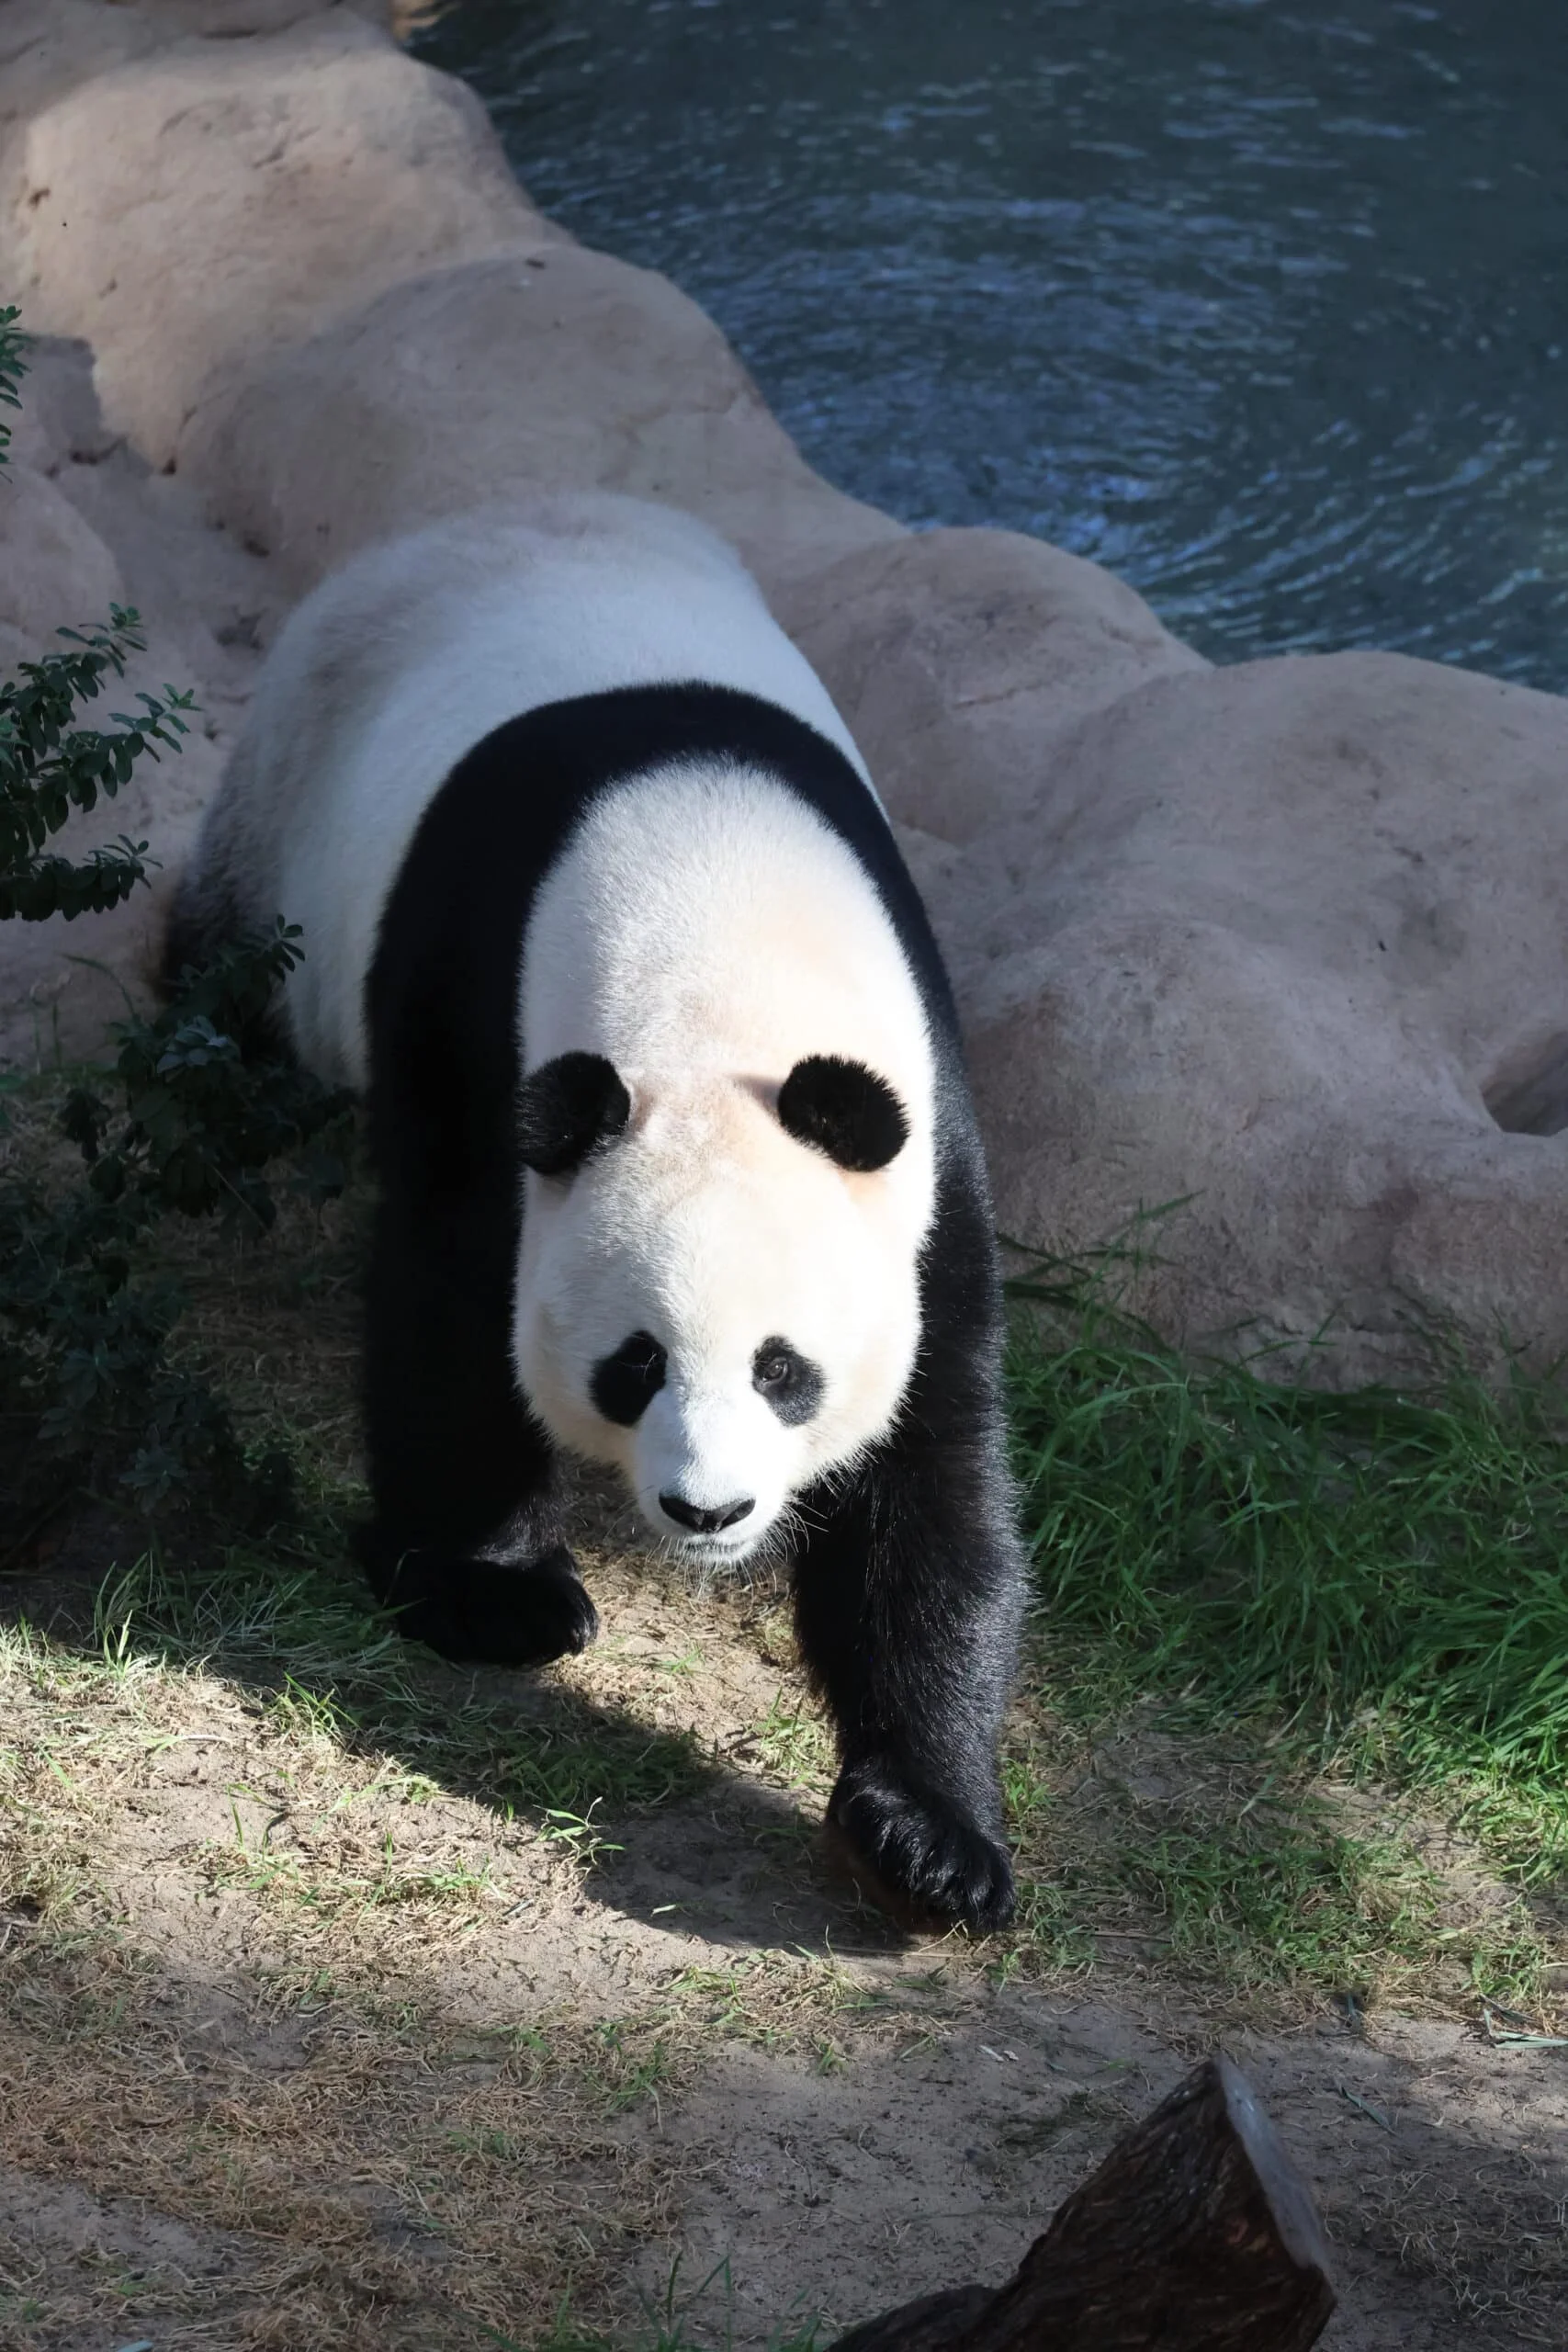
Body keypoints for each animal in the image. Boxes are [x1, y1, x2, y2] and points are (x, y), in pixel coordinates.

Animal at [167, 493, 1025, 1930]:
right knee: (221, 987)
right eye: (634, 1365)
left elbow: (929, 1460)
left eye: (785, 1370)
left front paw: (928, 1837)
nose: (708, 1513)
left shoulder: (920, 1148)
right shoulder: (477, 1014)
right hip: (284, 807)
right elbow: (454, 1298)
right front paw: (494, 1595)